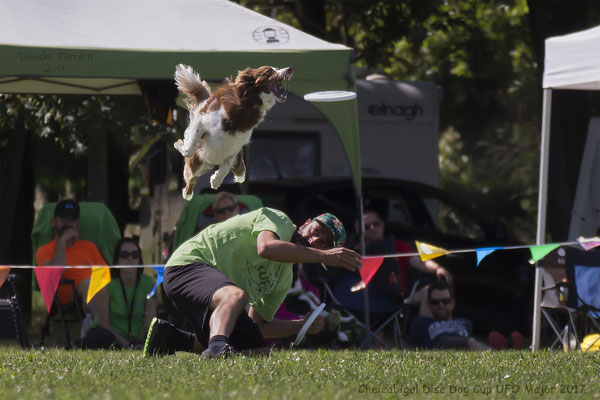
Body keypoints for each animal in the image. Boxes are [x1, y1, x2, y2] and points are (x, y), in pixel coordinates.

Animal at [172, 63, 292, 199]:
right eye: (269, 71)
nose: (289, 69)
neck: (246, 107)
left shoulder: (236, 143)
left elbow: (227, 166)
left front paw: (216, 180)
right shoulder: (201, 119)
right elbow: (189, 149)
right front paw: (180, 145)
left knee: (239, 173)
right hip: (196, 164)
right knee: (191, 177)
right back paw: (187, 193)